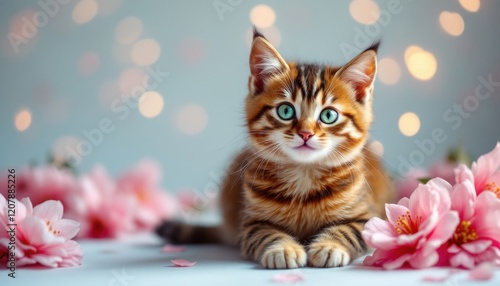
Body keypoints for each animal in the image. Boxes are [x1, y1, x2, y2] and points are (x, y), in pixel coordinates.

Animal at [157, 29, 394, 268]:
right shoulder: (251, 223)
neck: (304, 176)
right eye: (286, 111)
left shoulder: (367, 218)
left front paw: (330, 246)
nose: (305, 133)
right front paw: (284, 249)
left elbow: (348, 230)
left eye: (328, 115)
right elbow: (267, 233)